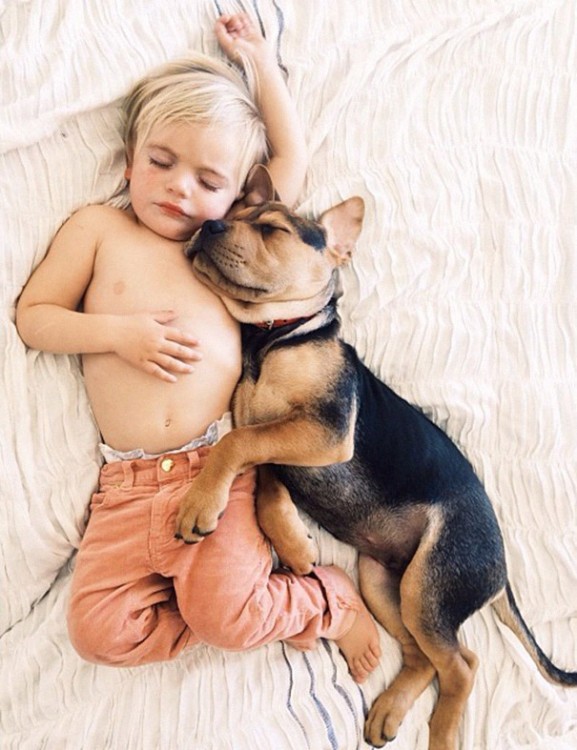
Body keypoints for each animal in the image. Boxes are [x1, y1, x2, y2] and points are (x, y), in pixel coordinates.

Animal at [176, 167, 576, 750]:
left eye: (271, 229)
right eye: (234, 211)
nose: (209, 224)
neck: (277, 339)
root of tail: (502, 571)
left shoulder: (327, 430)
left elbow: (236, 444)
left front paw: (200, 503)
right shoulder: (279, 437)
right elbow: (265, 476)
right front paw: (292, 543)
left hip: (430, 582)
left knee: (462, 664)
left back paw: (442, 733)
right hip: (382, 580)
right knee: (425, 657)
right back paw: (389, 711)